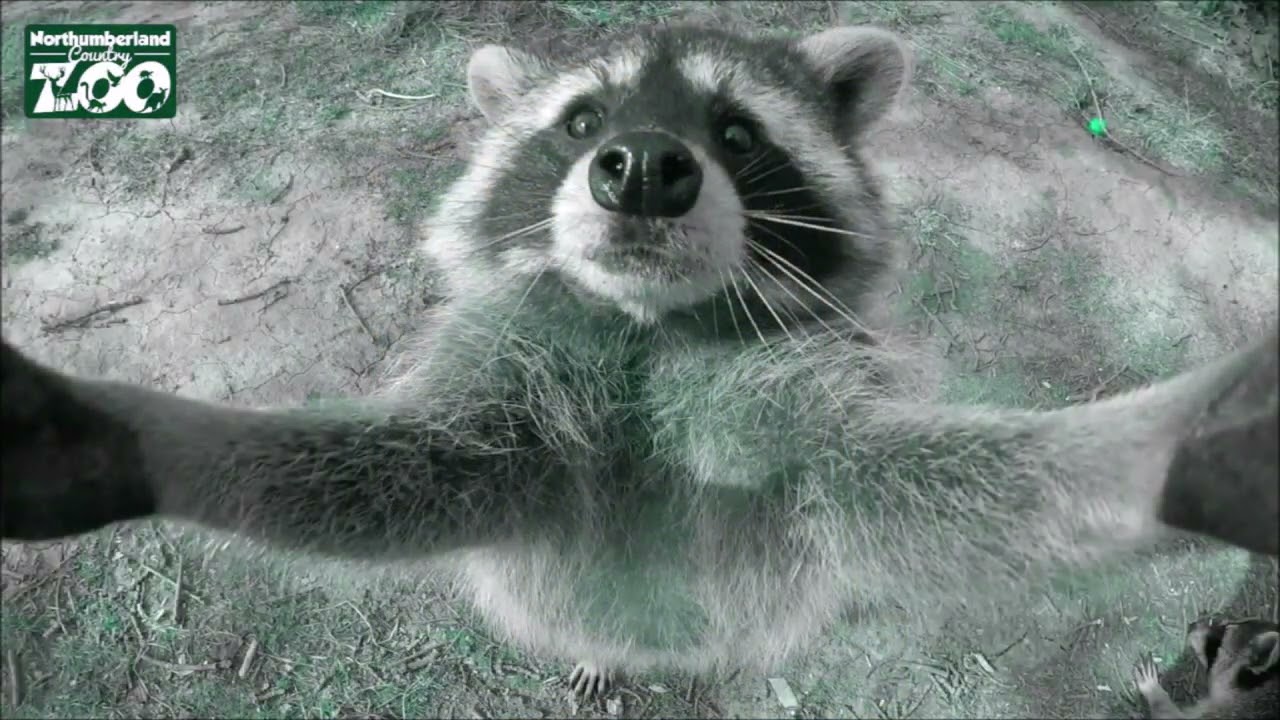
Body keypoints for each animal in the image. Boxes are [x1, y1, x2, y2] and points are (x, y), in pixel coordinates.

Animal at [2, 21, 1277, 699]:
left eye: (737, 133)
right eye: (577, 122)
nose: (646, 168)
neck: (645, 329)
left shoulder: (785, 391)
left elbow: (898, 478)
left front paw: (1167, 454)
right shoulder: (513, 374)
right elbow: (411, 471)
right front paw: (142, 437)